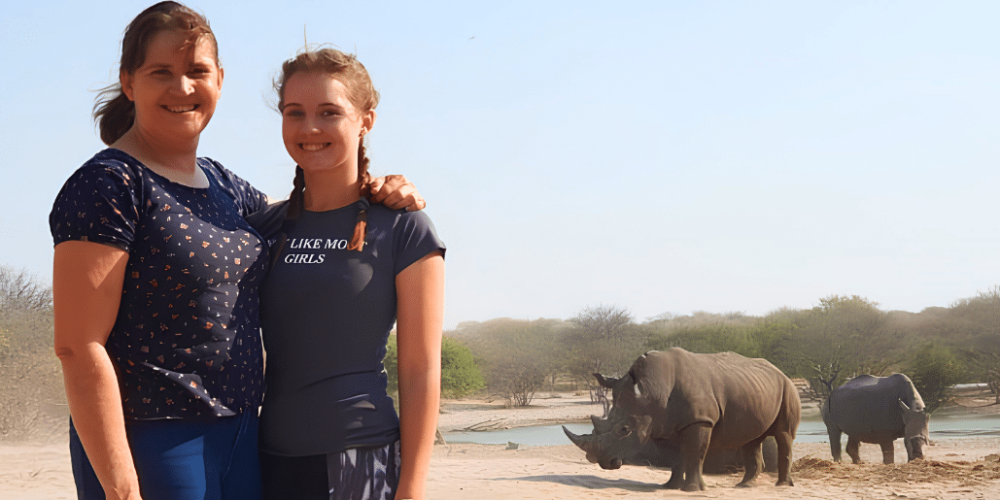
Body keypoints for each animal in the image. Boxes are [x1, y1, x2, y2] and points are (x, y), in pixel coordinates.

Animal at [564, 348, 800, 491]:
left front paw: (693, 490)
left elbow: (695, 453)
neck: (653, 390)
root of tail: (780, 372)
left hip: (788, 387)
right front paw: (670, 487)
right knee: (751, 440)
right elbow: (676, 457)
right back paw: (744, 486)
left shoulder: (700, 420)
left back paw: (781, 486)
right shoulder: (663, 425)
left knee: (784, 435)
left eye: (624, 430)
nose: (605, 462)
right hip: (755, 389)